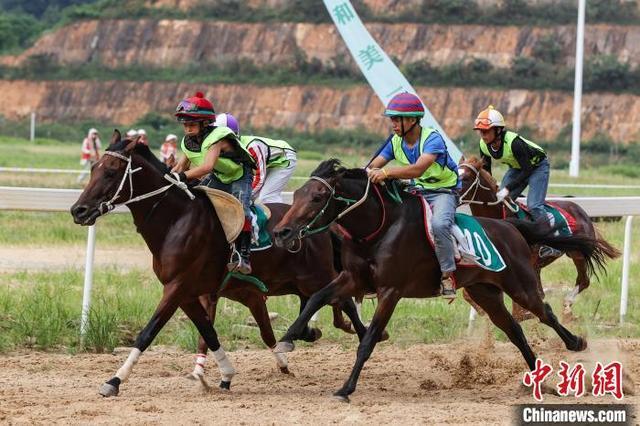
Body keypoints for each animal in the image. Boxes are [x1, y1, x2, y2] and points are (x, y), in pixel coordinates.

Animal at [69, 131, 364, 398]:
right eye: (93, 168)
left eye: (111, 172)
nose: (78, 210)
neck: (176, 220)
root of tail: (322, 227)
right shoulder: (188, 293)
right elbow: (208, 333)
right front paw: (223, 374)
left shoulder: (177, 287)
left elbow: (148, 333)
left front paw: (115, 380)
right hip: (294, 283)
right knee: (319, 305)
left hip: (317, 276)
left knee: (344, 302)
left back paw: (360, 336)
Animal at [460, 156, 620, 316]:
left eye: (466, 178)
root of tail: (581, 210)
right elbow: (468, 293)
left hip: (577, 252)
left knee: (584, 280)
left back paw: (567, 302)